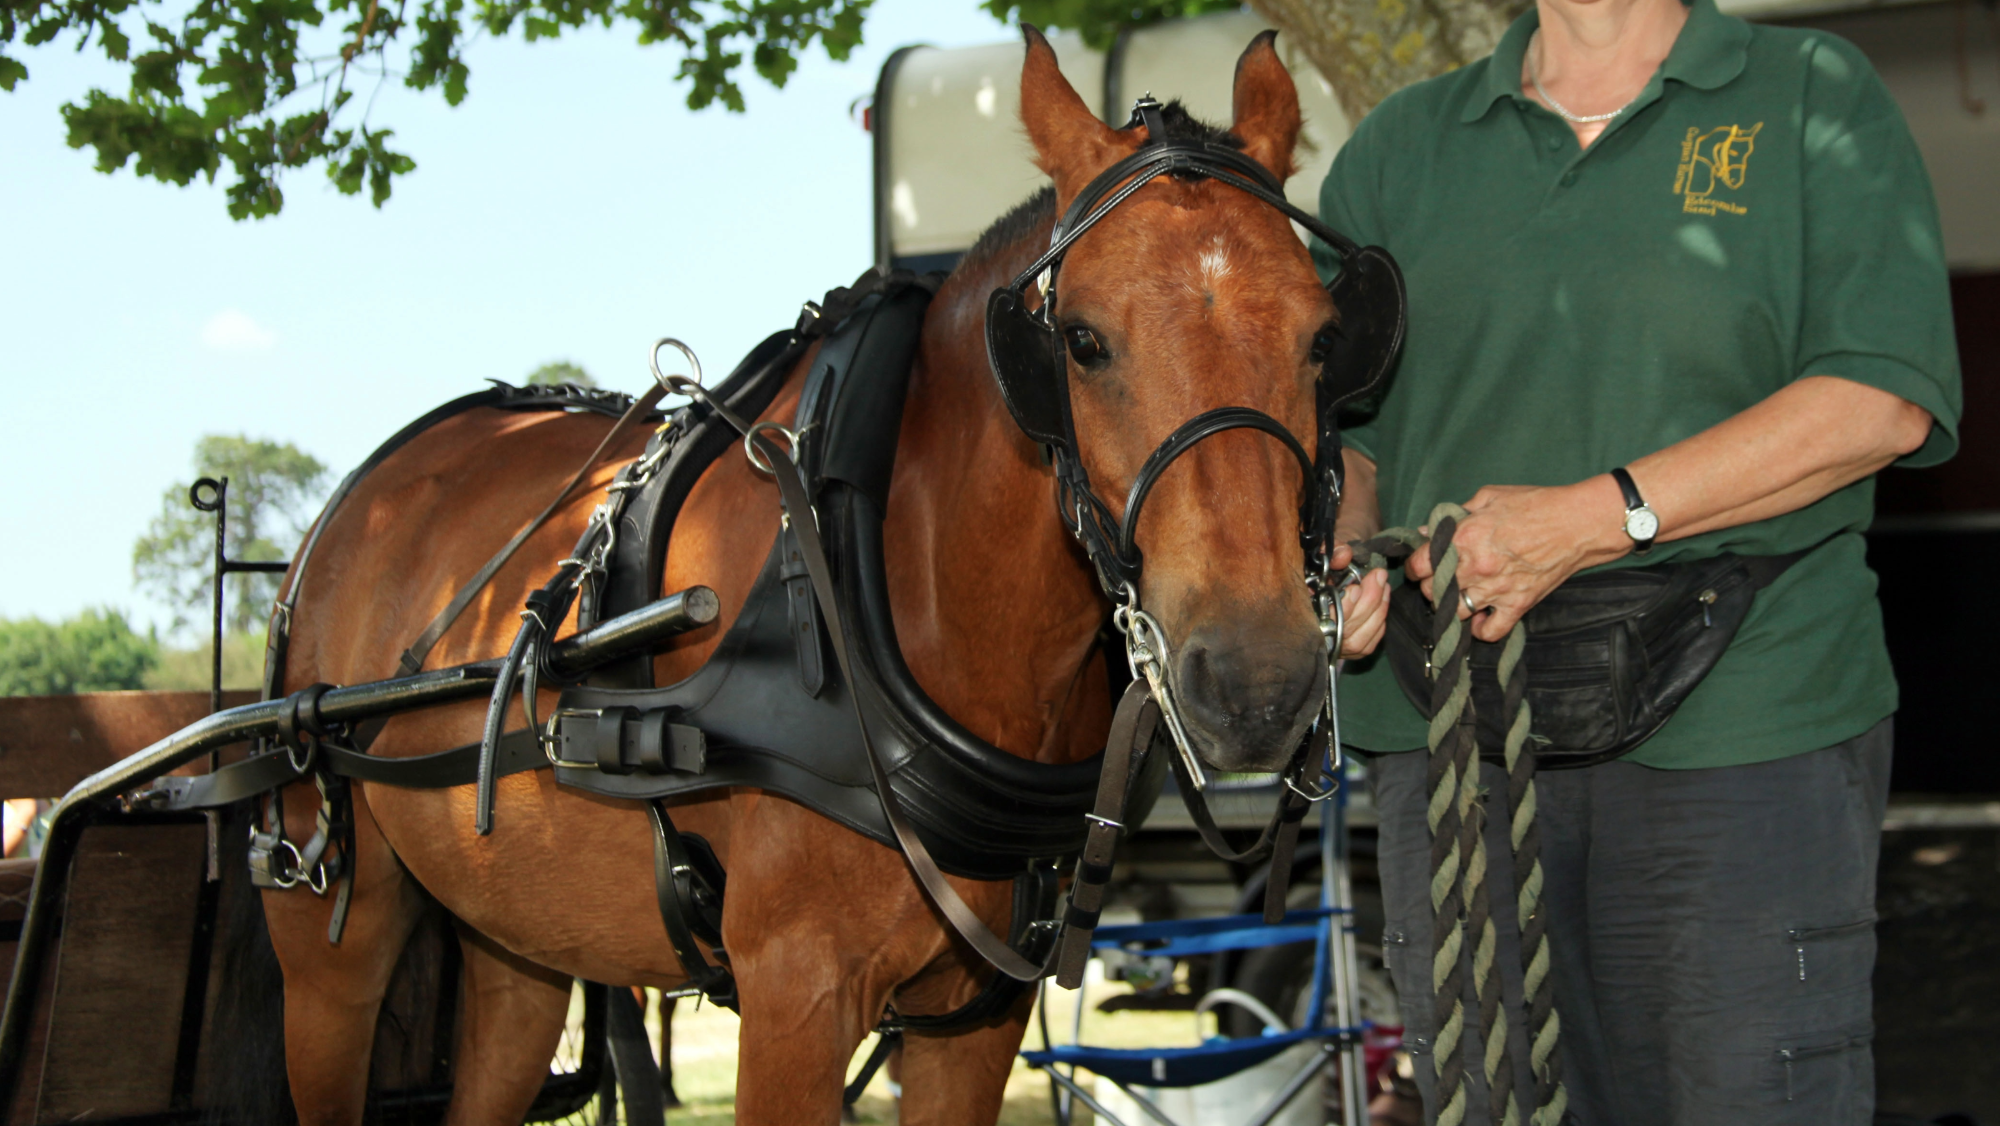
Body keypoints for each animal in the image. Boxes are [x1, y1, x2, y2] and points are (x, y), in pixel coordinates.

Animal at [258, 27, 1345, 1124]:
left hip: (514, 939)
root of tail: (368, 491)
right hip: (331, 949)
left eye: (1325, 337)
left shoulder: (975, 1023)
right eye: (1080, 341)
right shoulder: (794, 995)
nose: (1256, 680)